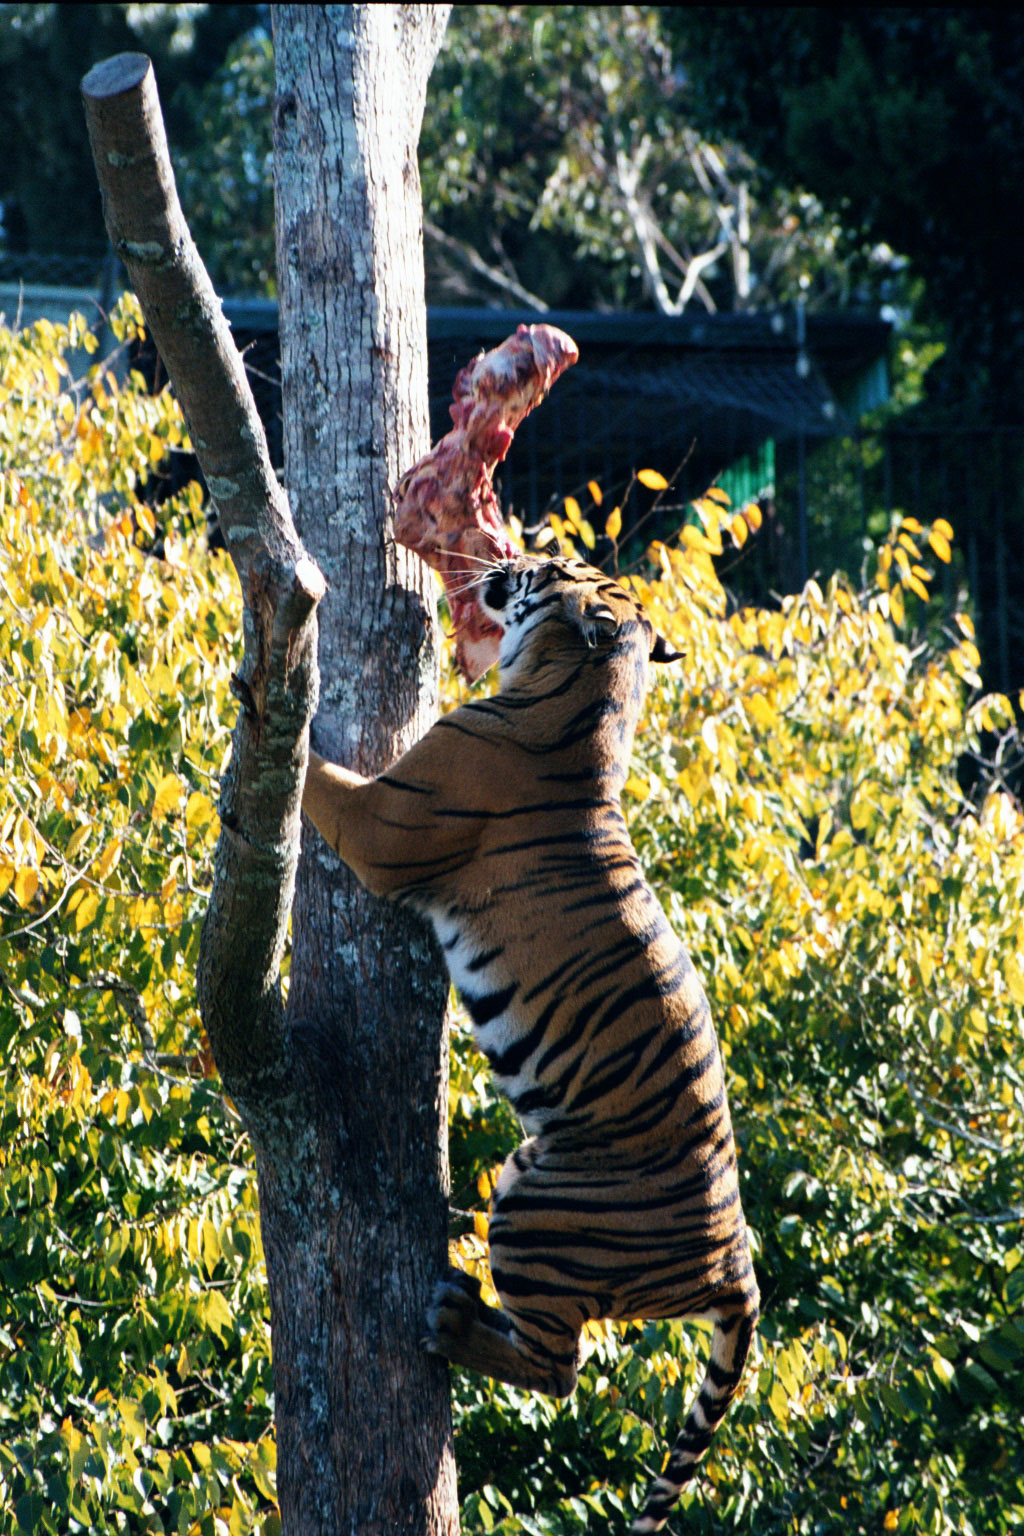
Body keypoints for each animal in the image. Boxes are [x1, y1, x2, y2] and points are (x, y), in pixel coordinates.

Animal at [301, 553, 760, 1532]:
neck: (590, 696)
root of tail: (738, 1267)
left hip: (542, 1210)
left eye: (554, 570)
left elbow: (320, 777)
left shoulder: (382, 823)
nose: (513, 552)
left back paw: (450, 1322)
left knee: (559, 1369)